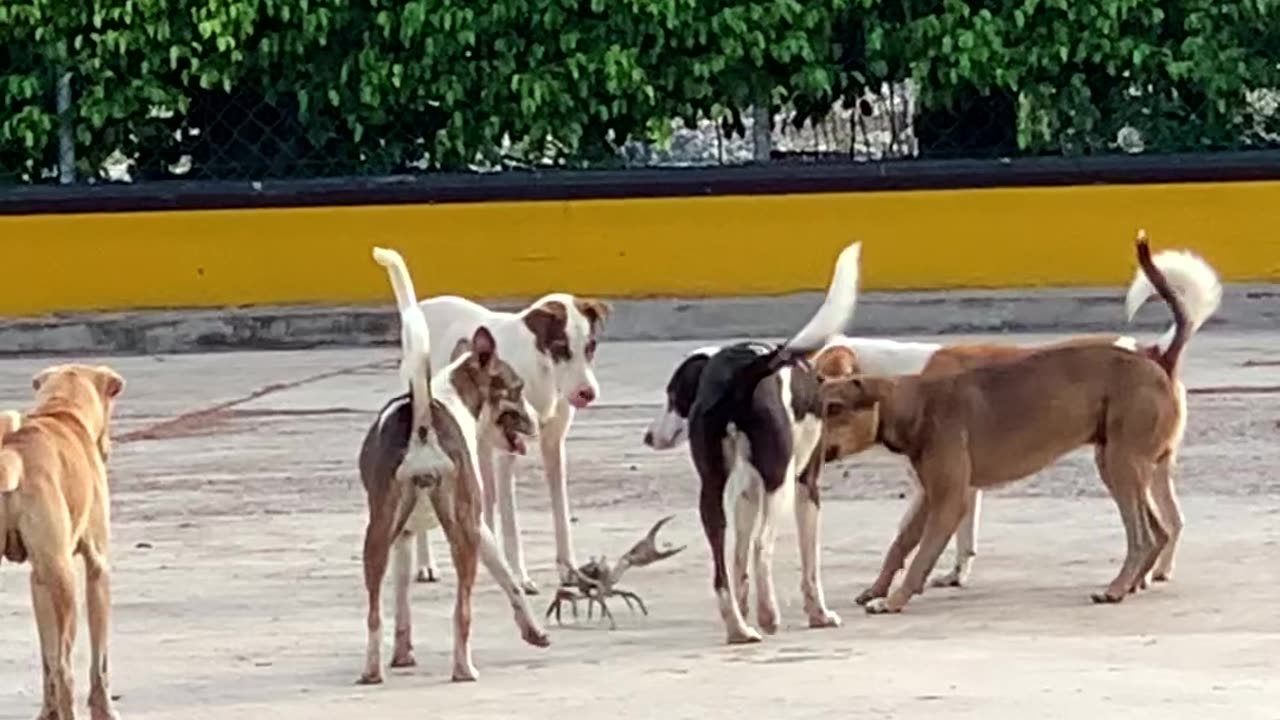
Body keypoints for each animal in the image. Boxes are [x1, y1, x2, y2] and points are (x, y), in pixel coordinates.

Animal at [0, 363, 126, 717]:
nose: (108, 449)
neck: (62, 411)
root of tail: (13, 454)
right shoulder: (98, 567)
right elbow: (99, 660)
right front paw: (104, 709)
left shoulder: (39, 581)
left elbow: (46, 661)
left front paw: (47, 711)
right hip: (65, 580)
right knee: (66, 670)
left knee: (56, 667)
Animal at [358, 245, 547, 681]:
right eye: (517, 389)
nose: (537, 420)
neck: (447, 397)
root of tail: (423, 424)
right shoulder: (479, 525)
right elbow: (510, 581)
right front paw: (533, 629)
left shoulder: (403, 536)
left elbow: (401, 604)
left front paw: (403, 653)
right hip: (463, 532)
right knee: (462, 611)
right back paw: (464, 668)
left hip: (377, 535)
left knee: (374, 613)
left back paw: (373, 670)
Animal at [409, 280, 609, 589]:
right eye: (560, 348)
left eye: (591, 347)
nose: (587, 394)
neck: (541, 370)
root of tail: (422, 306)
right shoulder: (507, 453)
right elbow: (511, 521)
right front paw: (519, 575)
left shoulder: (553, 446)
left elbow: (561, 511)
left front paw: (569, 569)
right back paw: (425, 563)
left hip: (478, 444)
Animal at [645, 240, 865, 645]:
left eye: (674, 396)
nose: (648, 436)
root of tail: (739, 372)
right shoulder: (806, 486)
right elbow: (809, 564)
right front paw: (819, 613)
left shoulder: (747, 491)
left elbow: (737, 558)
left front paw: (744, 606)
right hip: (780, 480)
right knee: (764, 546)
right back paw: (768, 615)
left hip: (712, 491)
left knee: (721, 560)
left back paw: (739, 627)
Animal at [814, 230, 1213, 609]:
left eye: (832, 408)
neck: (915, 398)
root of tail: (1157, 355)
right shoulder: (932, 495)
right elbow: (901, 543)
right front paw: (879, 589)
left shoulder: (948, 498)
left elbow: (922, 555)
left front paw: (895, 600)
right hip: (1121, 462)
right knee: (1161, 530)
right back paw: (1133, 583)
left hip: (1123, 464)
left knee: (1143, 536)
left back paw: (1116, 588)